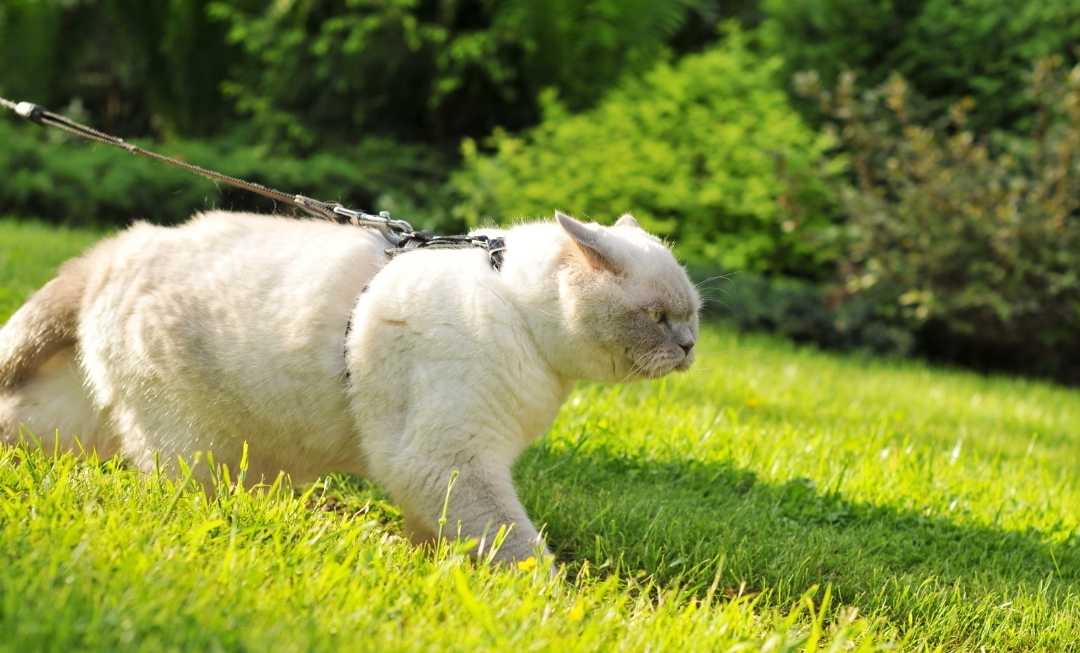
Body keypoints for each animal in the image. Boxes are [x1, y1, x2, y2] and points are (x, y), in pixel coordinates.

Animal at [0, 211, 699, 561]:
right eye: (658, 317)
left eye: (692, 314)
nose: (690, 346)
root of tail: (113, 249)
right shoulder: (450, 457)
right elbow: (517, 545)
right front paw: (546, 600)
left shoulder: (444, 467)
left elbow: (442, 532)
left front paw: (429, 566)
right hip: (196, 444)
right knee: (184, 491)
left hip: (80, 421)